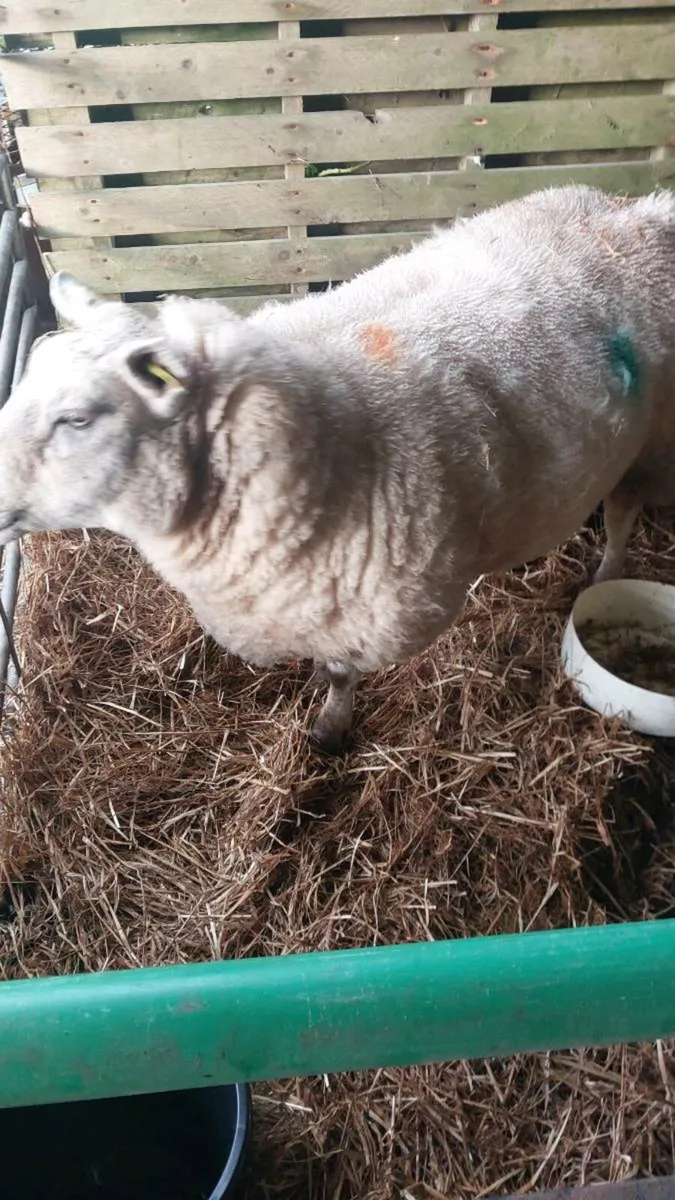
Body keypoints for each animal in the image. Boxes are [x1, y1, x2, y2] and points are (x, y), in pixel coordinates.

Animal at [1, 183, 675, 752]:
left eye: (76, 419)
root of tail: (638, 210)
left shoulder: (360, 612)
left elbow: (338, 673)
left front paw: (329, 728)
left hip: (650, 450)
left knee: (622, 515)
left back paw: (602, 574)